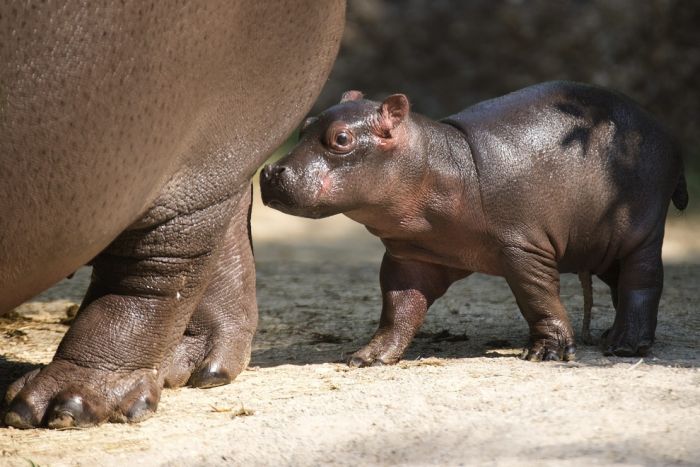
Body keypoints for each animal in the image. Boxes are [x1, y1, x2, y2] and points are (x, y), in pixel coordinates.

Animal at [262, 81, 688, 366]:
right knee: (620, 282)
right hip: (600, 242)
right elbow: (397, 309)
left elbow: (538, 297)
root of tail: (662, 128)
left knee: (643, 281)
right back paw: (610, 336)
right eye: (305, 125)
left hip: (642, 230)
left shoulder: (522, 248)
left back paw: (625, 345)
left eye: (341, 139)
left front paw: (547, 353)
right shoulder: (409, 257)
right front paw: (368, 356)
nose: (269, 171)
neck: (439, 163)